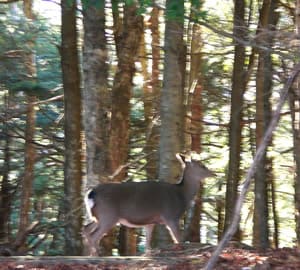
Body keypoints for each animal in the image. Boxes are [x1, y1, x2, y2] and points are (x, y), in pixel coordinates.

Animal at [82, 153, 213, 256]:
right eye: (202, 165)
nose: (213, 173)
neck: (181, 195)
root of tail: (90, 193)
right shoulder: (171, 216)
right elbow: (178, 239)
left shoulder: (150, 222)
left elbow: (148, 244)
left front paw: (148, 255)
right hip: (108, 216)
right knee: (94, 236)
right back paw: (96, 256)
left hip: (97, 217)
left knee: (86, 229)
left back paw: (91, 254)